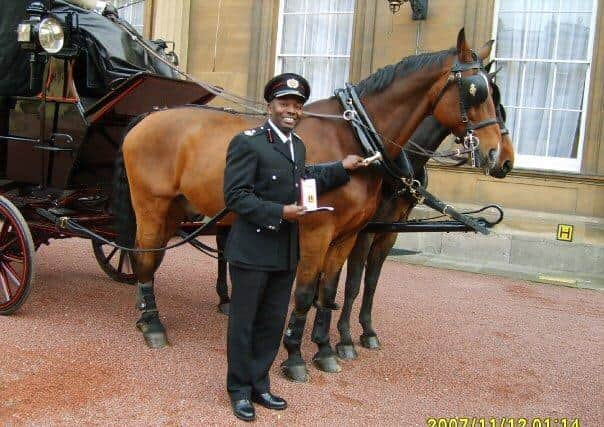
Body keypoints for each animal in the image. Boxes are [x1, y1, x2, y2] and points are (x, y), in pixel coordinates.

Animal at [113, 30, 504, 374]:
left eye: (494, 93)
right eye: (475, 90)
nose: (497, 156)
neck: (352, 136)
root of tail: (149, 115)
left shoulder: (347, 235)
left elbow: (329, 291)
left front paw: (325, 347)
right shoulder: (317, 230)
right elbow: (304, 293)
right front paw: (295, 356)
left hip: (175, 208)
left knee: (149, 257)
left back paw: (147, 314)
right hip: (151, 206)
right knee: (144, 256)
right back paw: (153, 325)